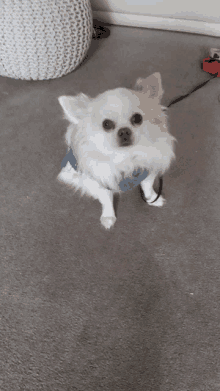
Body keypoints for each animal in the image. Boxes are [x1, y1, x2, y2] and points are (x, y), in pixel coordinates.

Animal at [56, 72, 175, 230]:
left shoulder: (148, 171)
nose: (124, 131)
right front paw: (108, 217)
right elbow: (106, 200)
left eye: (137, 118)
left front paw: (152, 200)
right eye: (106, 124)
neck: (125, 157)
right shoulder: (101, 182)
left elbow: (148, 188)